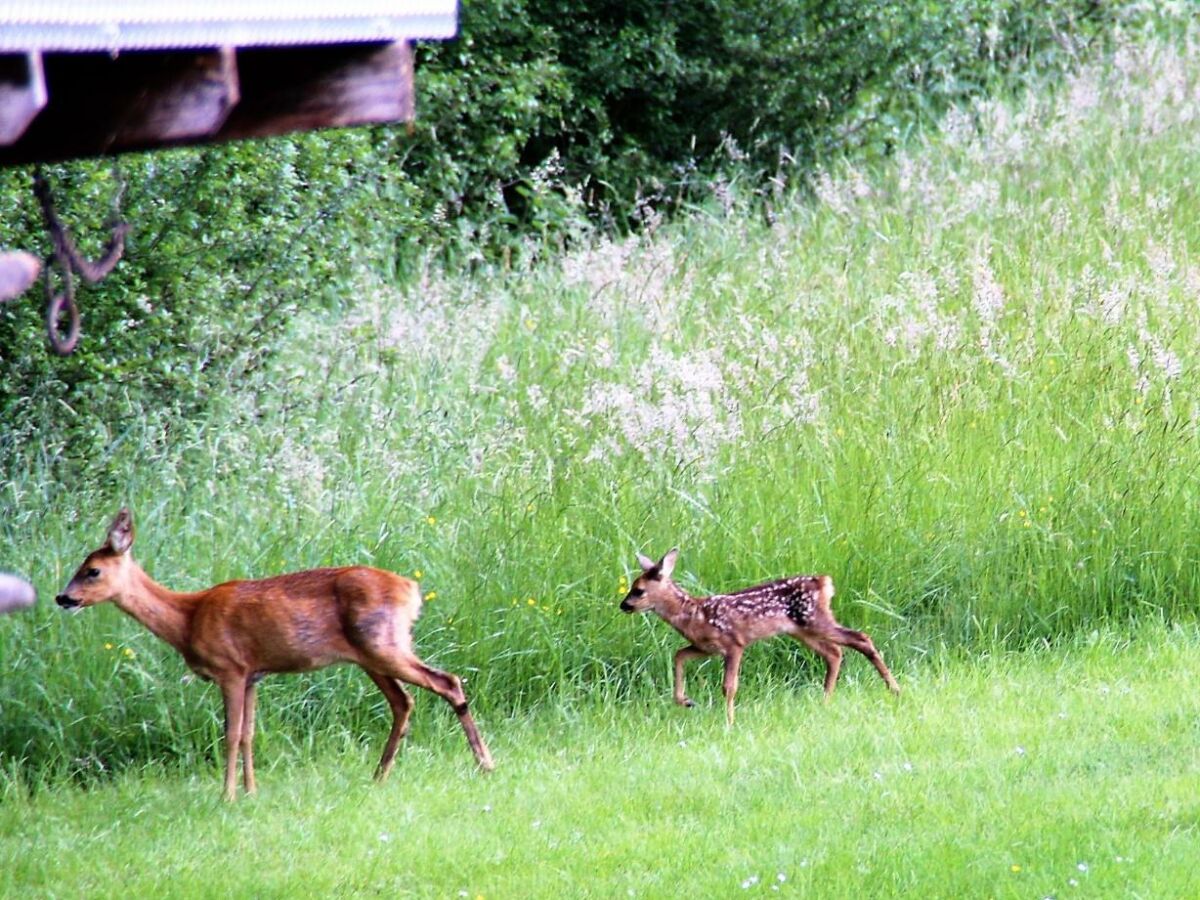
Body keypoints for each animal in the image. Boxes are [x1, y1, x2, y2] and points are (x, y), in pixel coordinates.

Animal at [55, 511, 496, 801]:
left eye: (92, 571)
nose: (63, 598)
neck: (187, 618)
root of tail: (411, 589)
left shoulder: (230, 669)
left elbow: (231, 734)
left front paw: (227, 795)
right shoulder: (254, 674)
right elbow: (250, 733)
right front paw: (251, 791)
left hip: (383, 645)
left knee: (447, 682)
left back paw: (484, 764)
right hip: (372, 654)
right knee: (404, 701)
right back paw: (379, 776)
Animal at [624, 549, 897, 724]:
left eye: (639, 590)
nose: (623, 605)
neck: (694, 614)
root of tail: (824, 583)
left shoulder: (734, 643)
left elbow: (729, 686)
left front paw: (729, 722)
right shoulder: (705, 647)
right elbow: (679, 655)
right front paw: (686, 701)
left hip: (814, 620)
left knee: (860, 638)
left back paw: (894, 689)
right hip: (802, 630)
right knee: (834, 653)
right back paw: (826, 701)